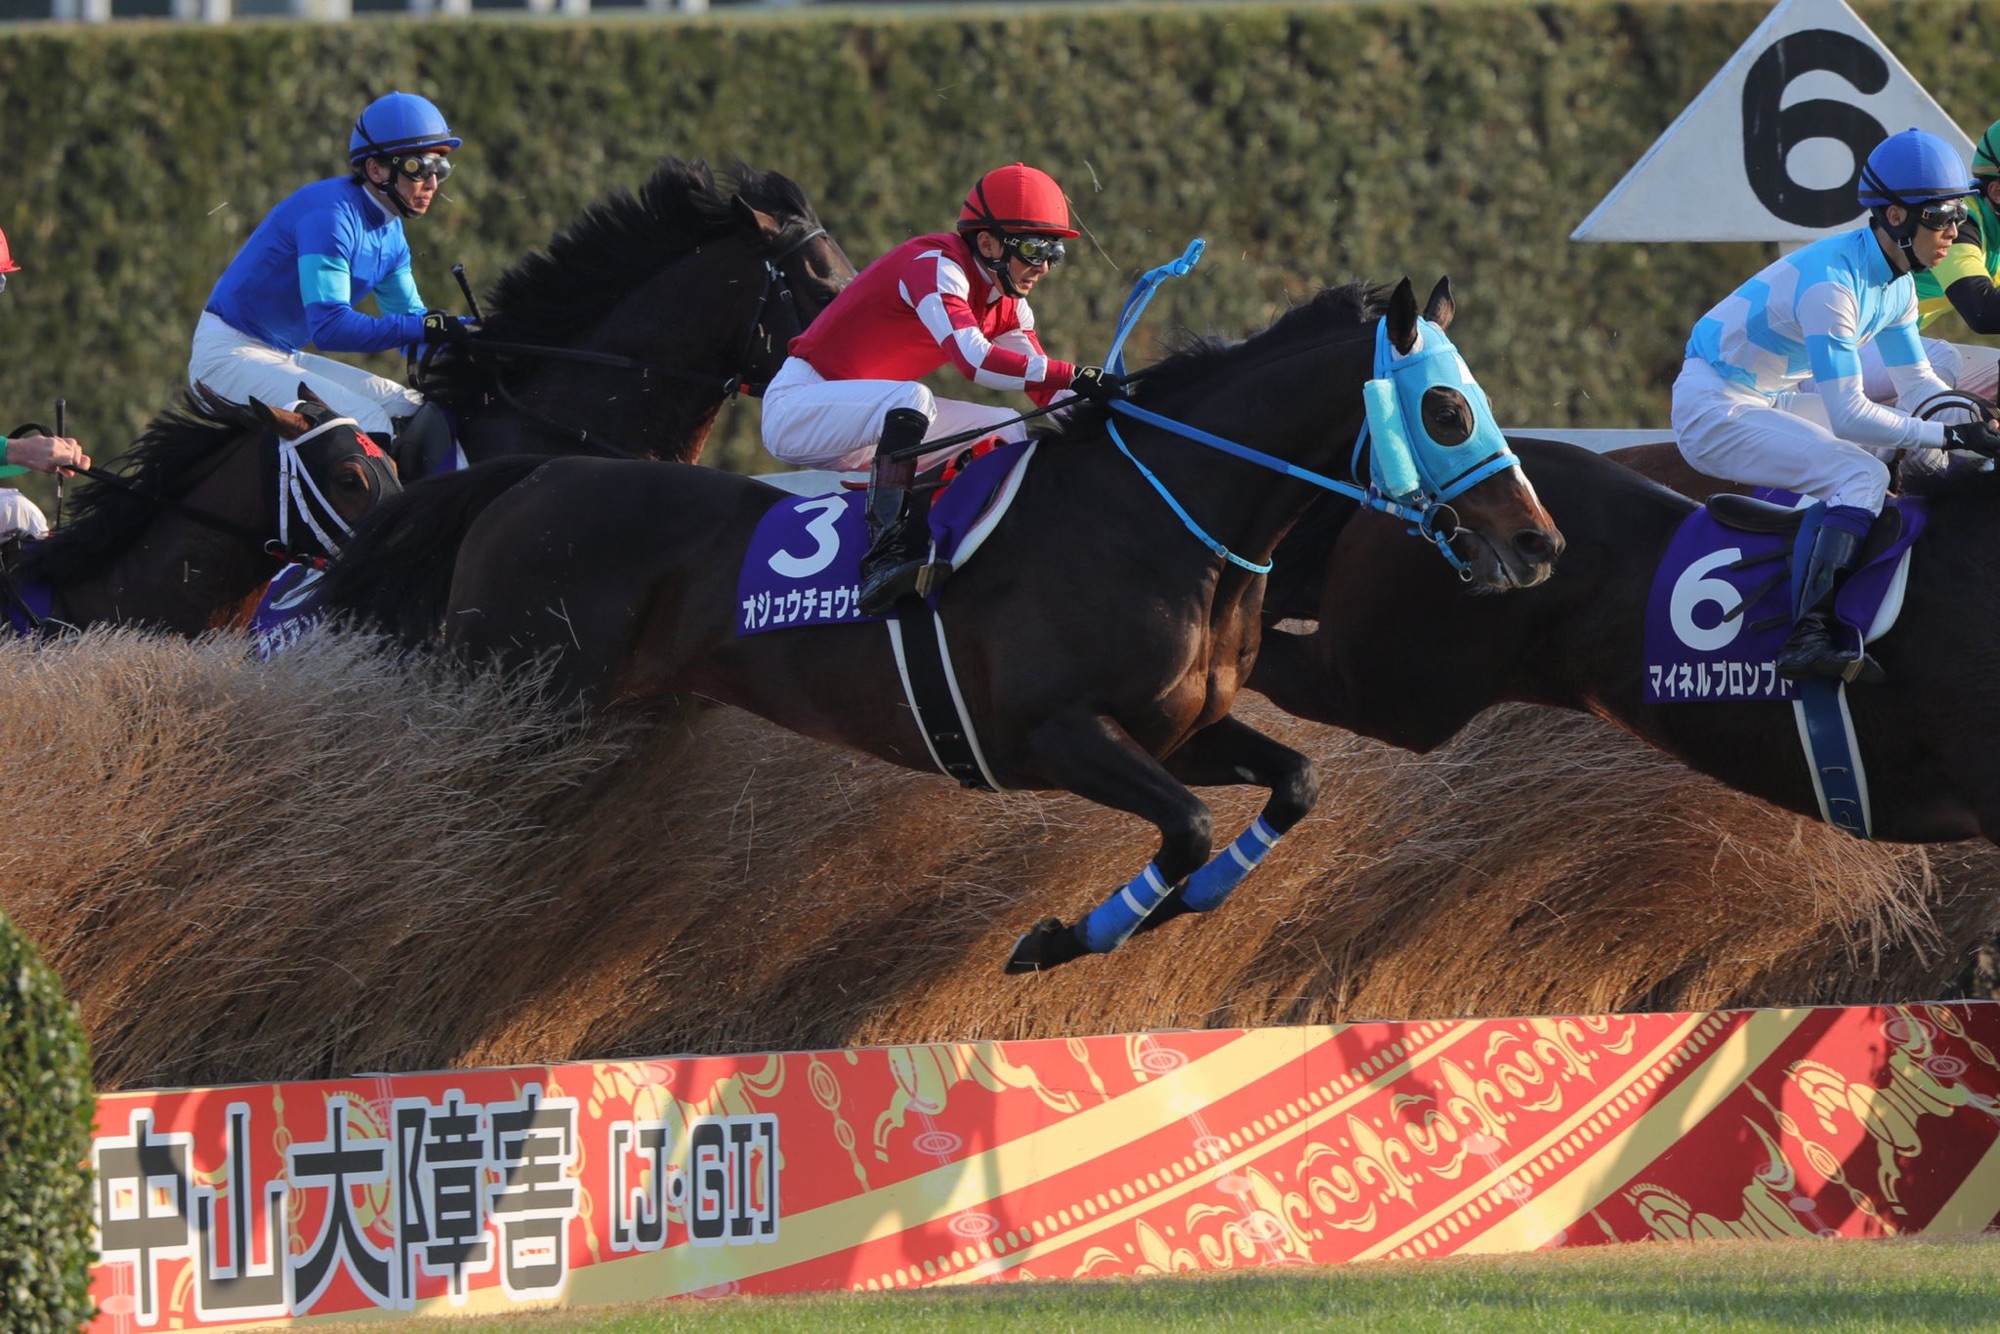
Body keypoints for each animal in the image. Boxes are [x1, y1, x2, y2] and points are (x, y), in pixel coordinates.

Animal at [324, 277, 1564, 970]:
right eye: (1444, 408)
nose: (1537, 542)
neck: (1157, 514)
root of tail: (527, 476)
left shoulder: (1180, 726)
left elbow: (1292, 783)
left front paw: (1189, 905)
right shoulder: (1052, 733)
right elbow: (1183, 828)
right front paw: (1062, 937)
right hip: (516, 708)